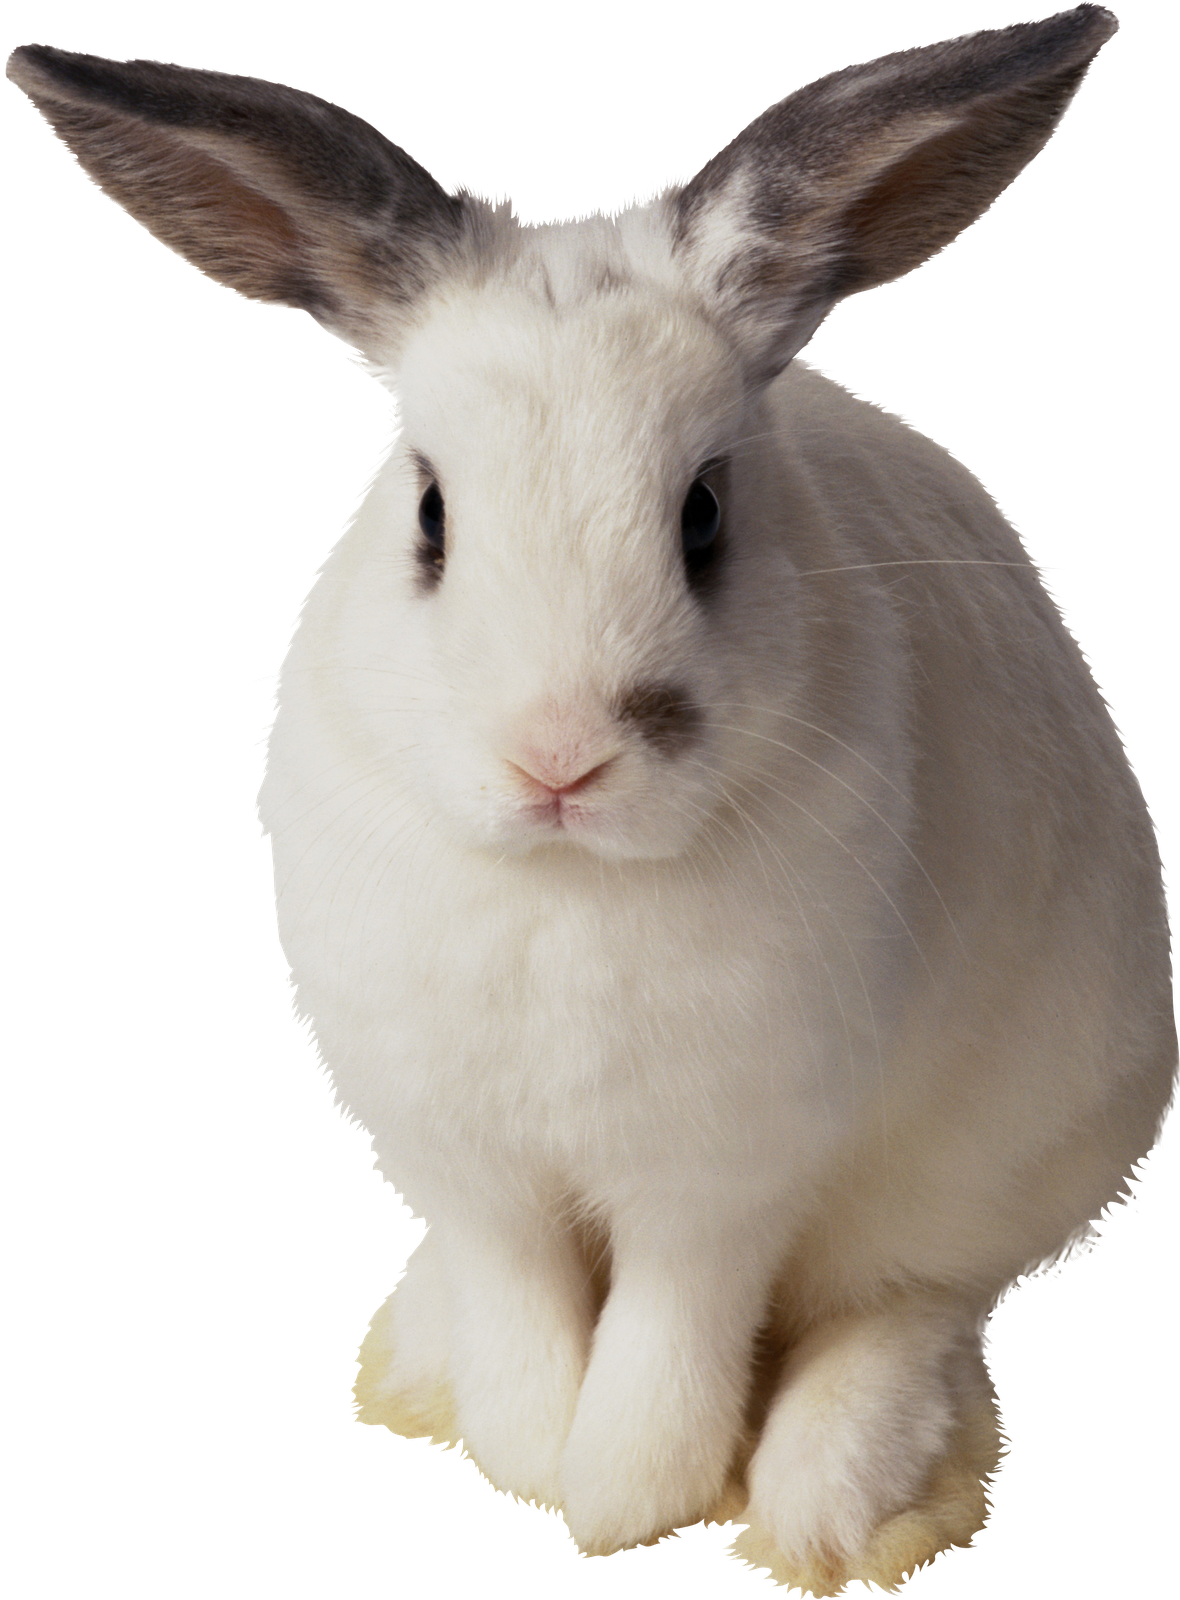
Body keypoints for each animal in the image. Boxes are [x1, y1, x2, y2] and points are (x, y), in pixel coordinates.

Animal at [7, 8, 1175, 1594]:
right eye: (428, 513)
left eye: (705, 515)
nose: (557, 759)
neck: (566, 885)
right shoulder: (463, 1159)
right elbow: (524, 1313)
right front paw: (517, 1453)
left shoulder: (719, 1177)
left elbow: (666, 1348)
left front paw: (624, 1502)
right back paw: (417, 1363)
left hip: (1010, 1151)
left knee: (906, 1306)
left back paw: (834, 1513)